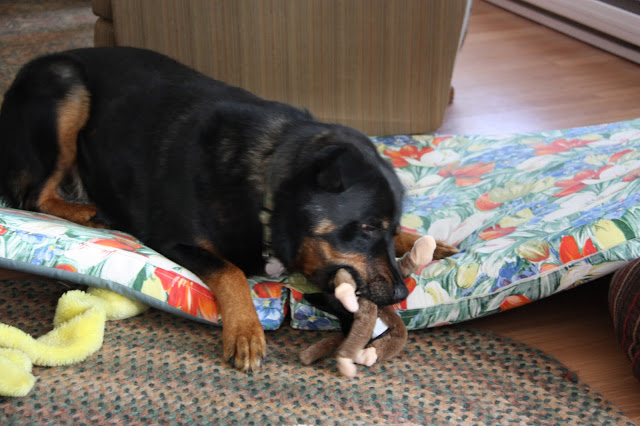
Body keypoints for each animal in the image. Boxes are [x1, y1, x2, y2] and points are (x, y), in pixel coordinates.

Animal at [0, 47, 455, 372]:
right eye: (365, 227)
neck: (267, 187)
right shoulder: (171, 239)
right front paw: (246, 331)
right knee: (33, 197)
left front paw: (424, 241)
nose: (400, 294)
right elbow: (230, 271)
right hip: (65, 89)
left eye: (389, 228)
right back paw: (88, 213)